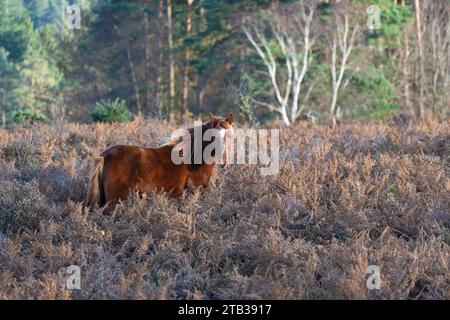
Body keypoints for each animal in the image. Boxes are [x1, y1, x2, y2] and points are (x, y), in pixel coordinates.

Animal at [84, 114, 234, 214]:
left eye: (231, 136)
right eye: (213, 137)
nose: (224, 161)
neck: (191, 158)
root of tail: (104, 156)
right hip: (114, 201)